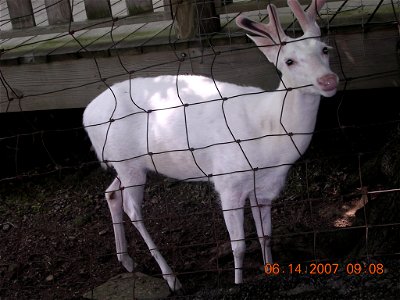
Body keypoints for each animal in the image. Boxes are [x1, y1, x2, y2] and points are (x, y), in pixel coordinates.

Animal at [83, 0, 338, 290]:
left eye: (325, 49)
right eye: (289, 60)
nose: (328, 81)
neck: (270, 135)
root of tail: (86, 116)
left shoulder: (264, 187)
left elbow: (265, 236)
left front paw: (270, 272)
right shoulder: (228, 182)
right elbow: (239, 245)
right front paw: (238, 284)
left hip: (128, 164)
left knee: (111, 193)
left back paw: (127, 261)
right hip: (127, 162)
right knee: (132, 208)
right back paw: (171, 278)